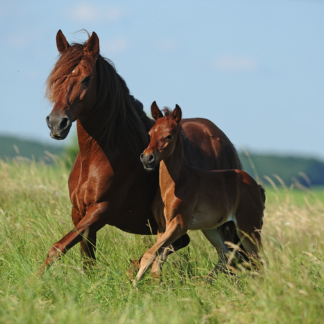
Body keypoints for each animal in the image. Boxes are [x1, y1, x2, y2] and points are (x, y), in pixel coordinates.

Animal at [39, 29, 243, 274]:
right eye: (57, 77)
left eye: (87, 79)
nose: (56, 123)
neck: (102, 153)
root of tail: (222, 139)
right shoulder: (79, 212)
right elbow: (86, 258)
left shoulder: (102, 210)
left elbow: (58, 248)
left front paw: (34, 279)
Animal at [137, 104, 266, 280]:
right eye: (150, 133)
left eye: (169, 135)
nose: (147, 158)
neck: (175, 184)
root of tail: (255, 186)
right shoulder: (162, 227)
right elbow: (157, 263)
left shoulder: (179, 224)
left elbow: (150, 255)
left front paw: (134, 283)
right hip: (212, 229)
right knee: (229, 256)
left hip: (248, 227)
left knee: (256, 261)